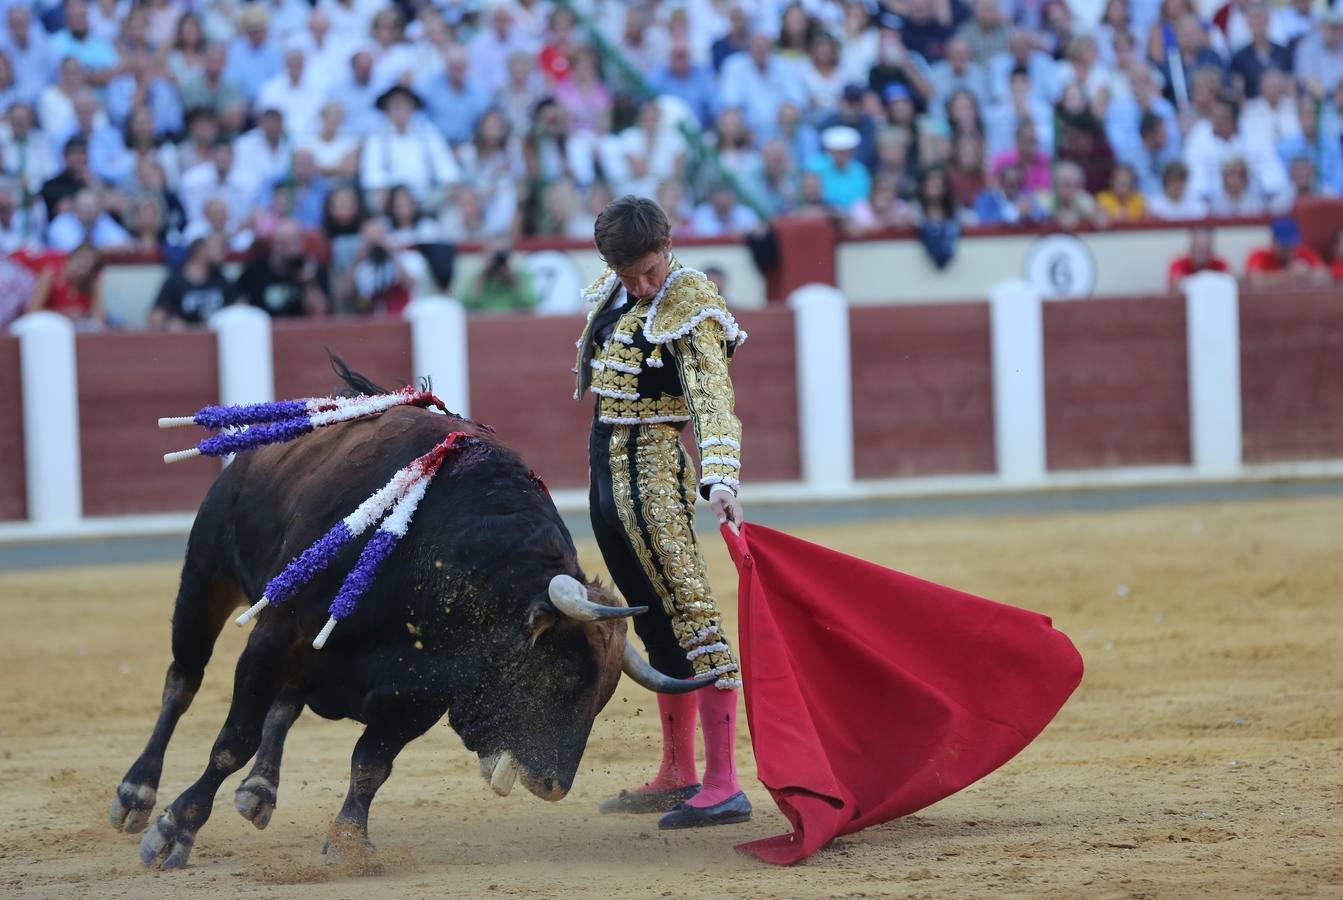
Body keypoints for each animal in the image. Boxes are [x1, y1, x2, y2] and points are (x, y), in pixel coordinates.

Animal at [110, 362, 709, 870]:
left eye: (604, 694)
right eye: (562, 675)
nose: (553, 784)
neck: (440, 556)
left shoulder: (421, 690)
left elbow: (371, 764)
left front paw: (348, 843)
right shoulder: (276, 633)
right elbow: (232, 740)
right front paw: (175, 830)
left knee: (284, 705)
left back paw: (260, 791)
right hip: (207, 576)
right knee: (183, 682)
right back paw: (137, 794)